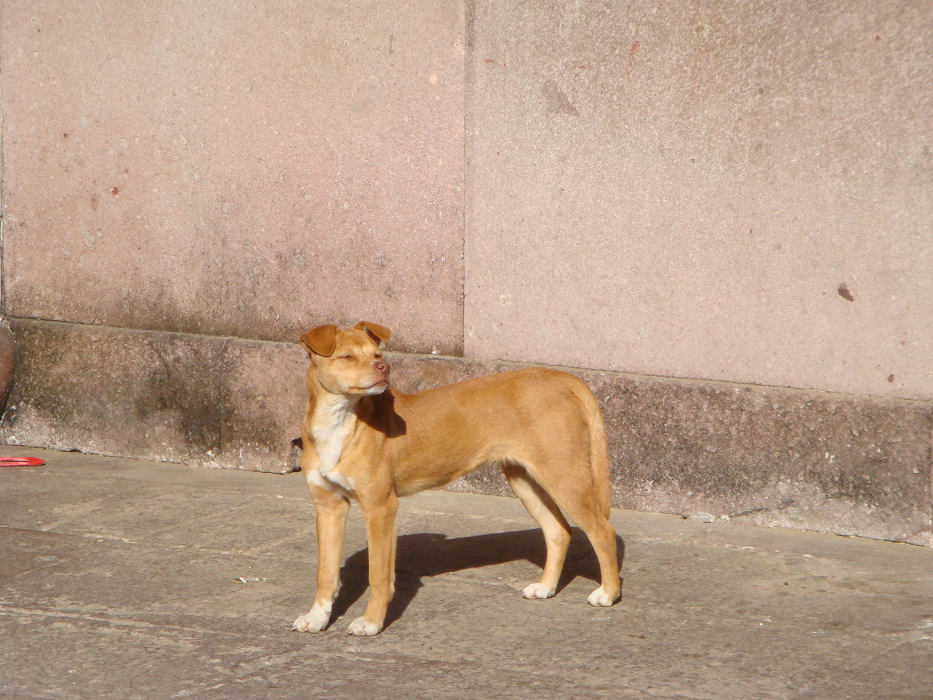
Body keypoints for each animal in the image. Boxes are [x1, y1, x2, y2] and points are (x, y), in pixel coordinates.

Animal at [291, 321, 620, 635]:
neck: (339, 421)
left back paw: (608, 593)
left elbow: (379, 575)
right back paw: (546, 587)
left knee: (603, 532)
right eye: (346, 357)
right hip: (524, 479)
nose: (384, 369)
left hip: (564, 477)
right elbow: (325, 573)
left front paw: (371, 622)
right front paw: (316, 618)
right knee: (558, 530)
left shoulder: (380, 508)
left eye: (377, 355)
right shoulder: (328, 507)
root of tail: (561, 378)